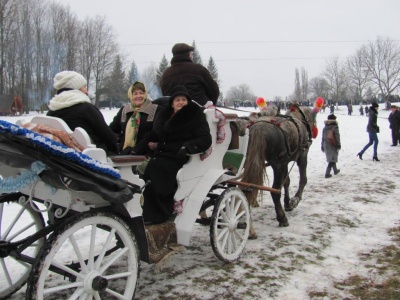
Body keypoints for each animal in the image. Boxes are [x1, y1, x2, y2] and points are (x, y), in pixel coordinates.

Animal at [239, 103, 320, 239]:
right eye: (314, 119)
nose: (314, 131)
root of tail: (259, 128)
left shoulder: (284, 162)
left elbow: (287, 182)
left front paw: (287, 203)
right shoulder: (301, 156)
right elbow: (303, 180)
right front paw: (294, 200)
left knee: (246, 189)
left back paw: (249, 227)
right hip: (277, 164)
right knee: (275, 191)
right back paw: (281, 218)